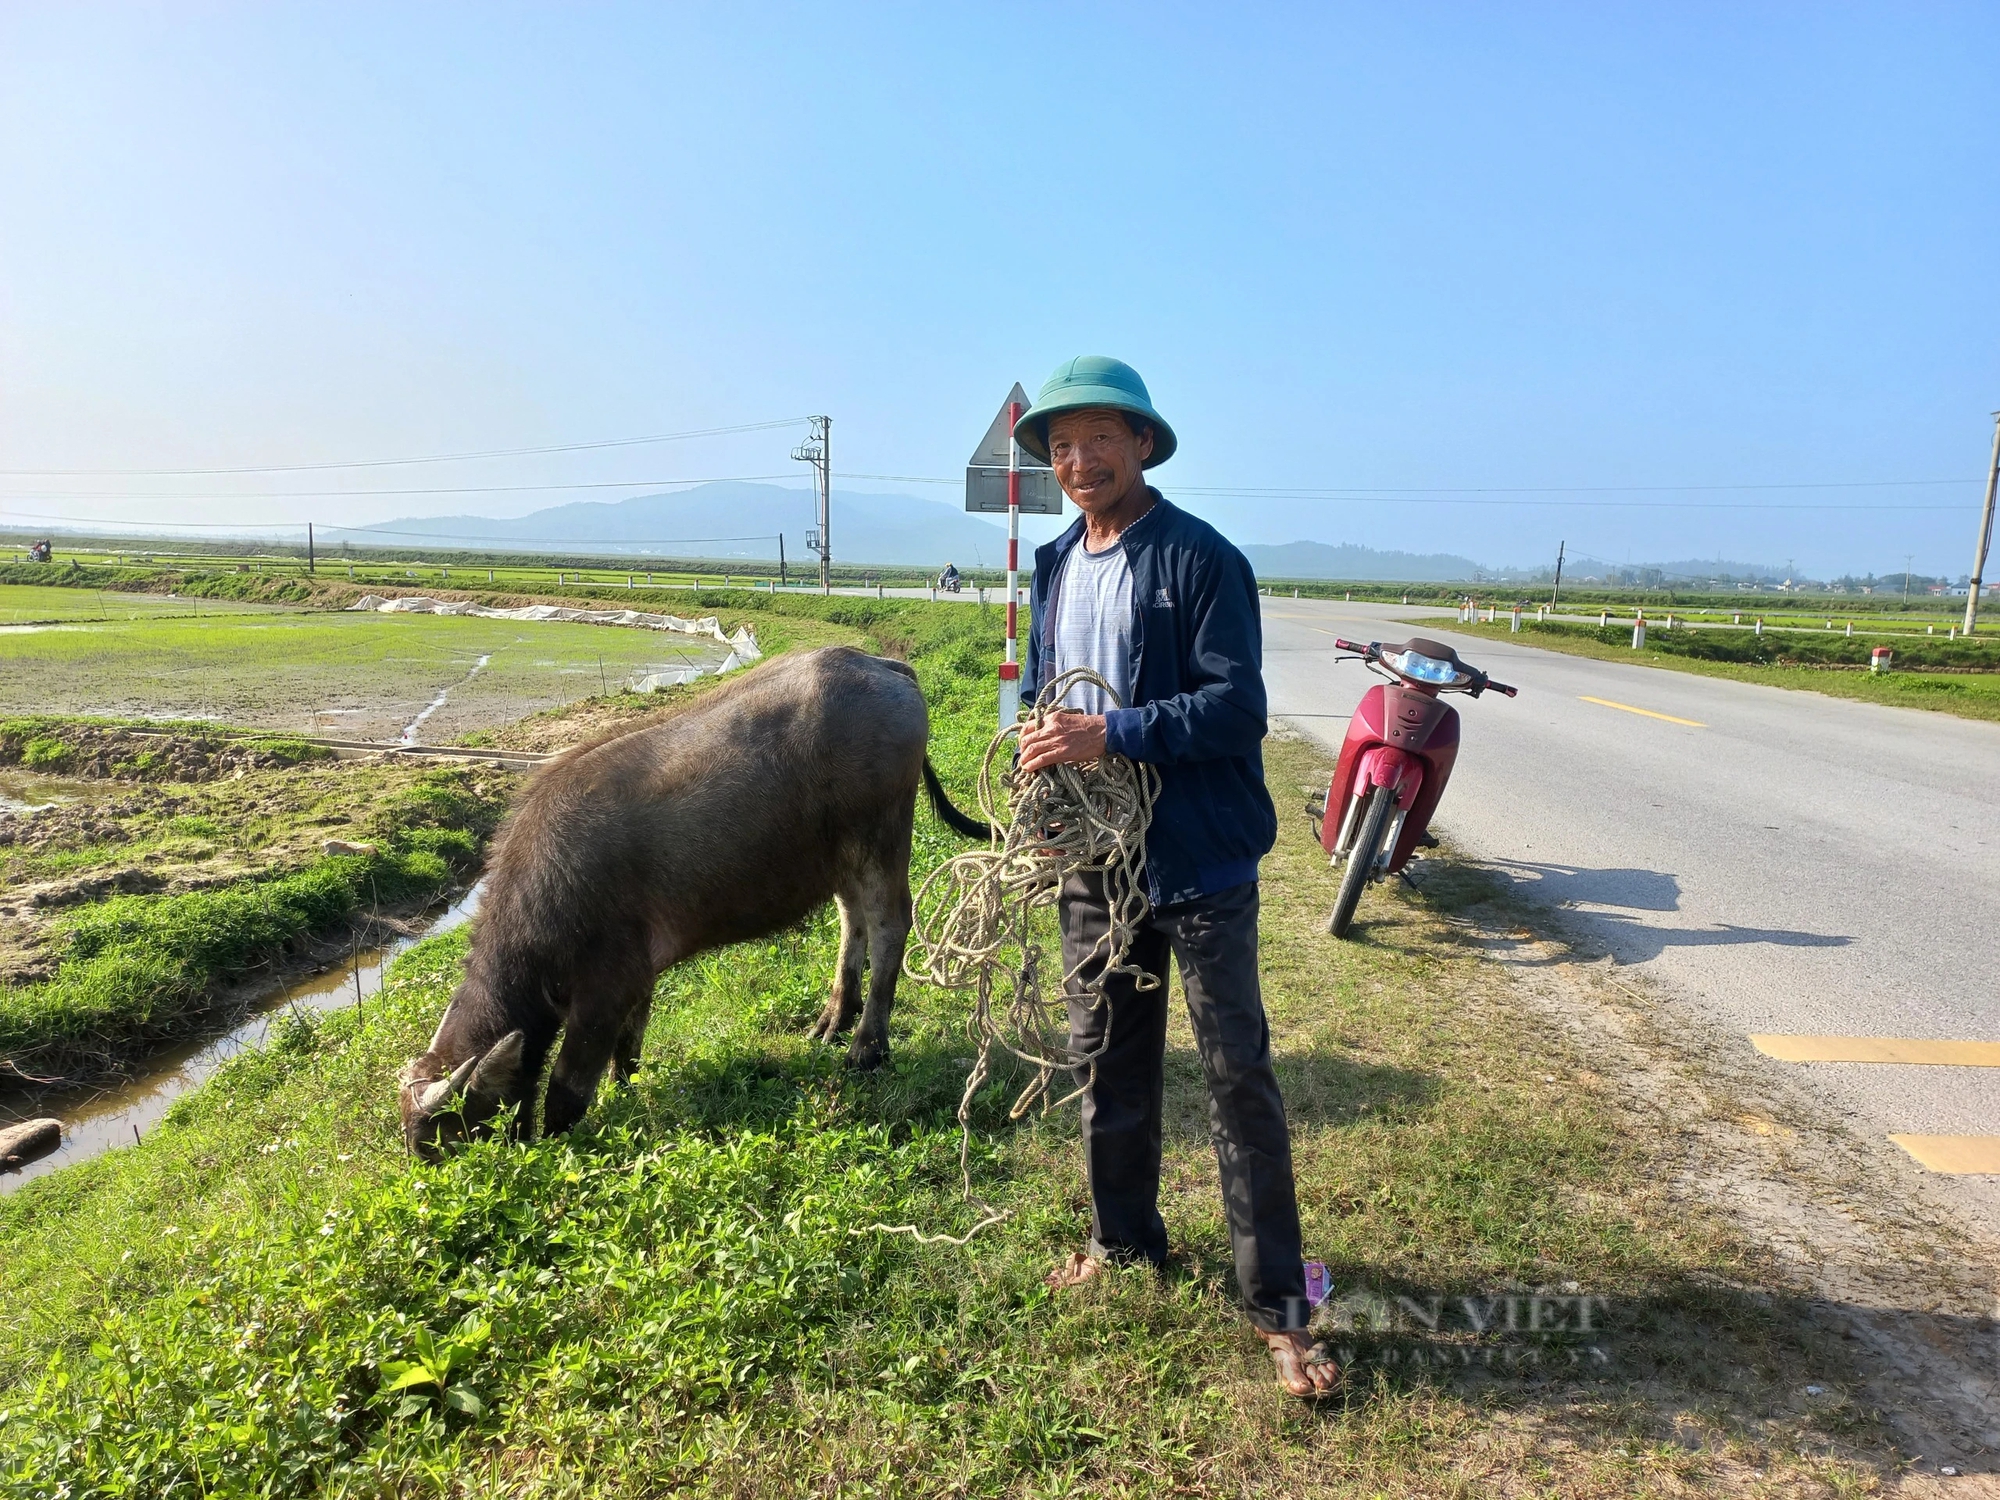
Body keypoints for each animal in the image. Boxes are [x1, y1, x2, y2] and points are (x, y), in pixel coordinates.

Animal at [396, 648, 984, 1160]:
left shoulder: (601, 995)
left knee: (889, 926)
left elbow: (568, 1089)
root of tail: (881, 666)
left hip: (881, 841)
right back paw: (835, 1017)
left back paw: (867, 1046)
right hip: (838, 857)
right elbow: (628, 1053)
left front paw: (561, 1142)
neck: (544, 908)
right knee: (851, 922)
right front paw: (626, 1097)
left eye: (443, 1140)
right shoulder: (637, 980)